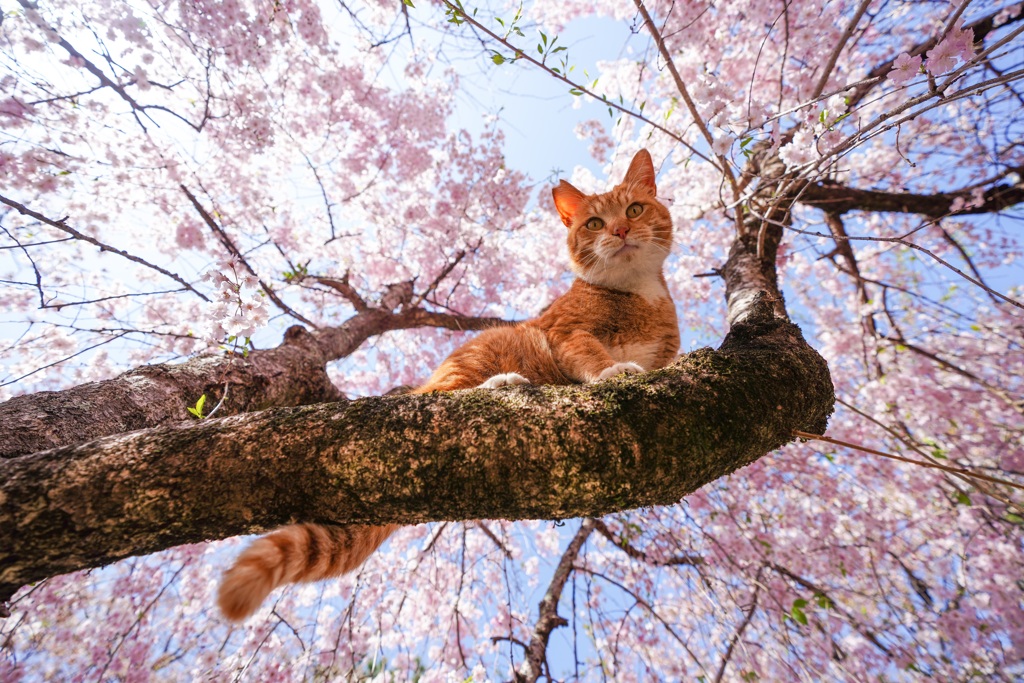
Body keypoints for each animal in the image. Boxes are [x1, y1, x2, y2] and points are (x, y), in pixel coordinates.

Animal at [218, 148, 679, 618]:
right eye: (595, 223)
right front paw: (613, 370)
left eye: (634, 210)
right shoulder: (566, 333)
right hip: (475, 360)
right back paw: (501, 385)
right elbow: (592, 356)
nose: (621, 230)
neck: (638, 295)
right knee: (443, 396)